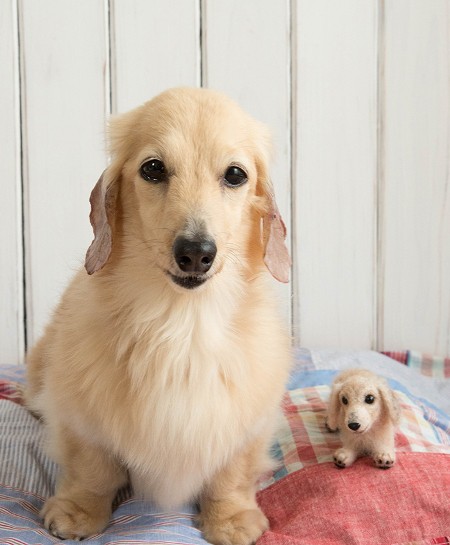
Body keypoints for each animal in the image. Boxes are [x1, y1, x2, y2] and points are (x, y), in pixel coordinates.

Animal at [25, 87, 292, 540]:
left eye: (235, 175)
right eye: (153, 168)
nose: (196, 253)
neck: (181, 324)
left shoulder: (247, 425)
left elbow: (231, 475)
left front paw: (231, 519)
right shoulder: (81, 419)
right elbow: (92, 469)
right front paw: (79, 513)